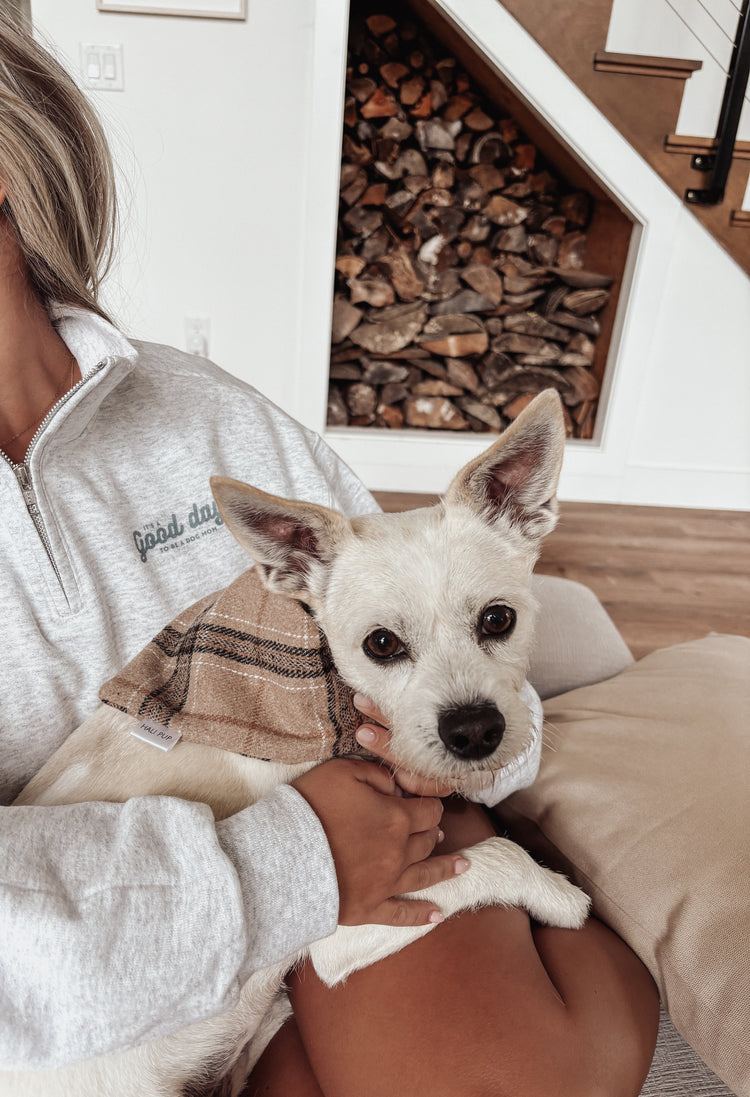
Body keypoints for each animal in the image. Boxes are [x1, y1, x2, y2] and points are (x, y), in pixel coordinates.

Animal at [7, 390, 592, 1092]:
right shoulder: (344, 928)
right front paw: (560, 894)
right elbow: (497, 854)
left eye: (499, 620)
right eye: (381, 644)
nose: (474, 730)